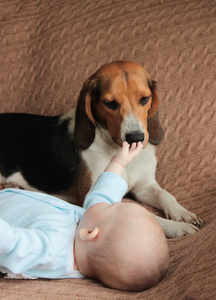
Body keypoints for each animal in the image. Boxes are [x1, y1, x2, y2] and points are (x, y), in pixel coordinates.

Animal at [0, 62, 202, 238]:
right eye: (110, 103)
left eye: (144, 99)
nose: (135, 138)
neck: (120, 154)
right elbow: (144, 214)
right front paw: (176, 227)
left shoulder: (144, 187)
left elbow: (164, 195)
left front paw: (182, 213)